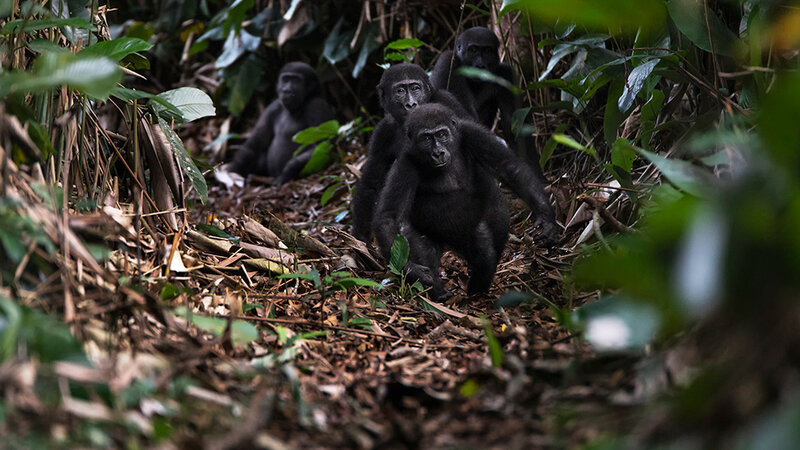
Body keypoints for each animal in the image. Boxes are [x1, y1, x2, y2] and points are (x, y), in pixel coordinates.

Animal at [376, 102, 560, 298]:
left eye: (442, 134)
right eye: (426, 138)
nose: (438, 152)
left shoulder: (472, 132)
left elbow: (509, 168)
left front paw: (546, 217)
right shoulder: (405, 163)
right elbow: (389, 216)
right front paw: (411, 268)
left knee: (492, 222)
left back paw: (478, 285)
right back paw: (441, 292)